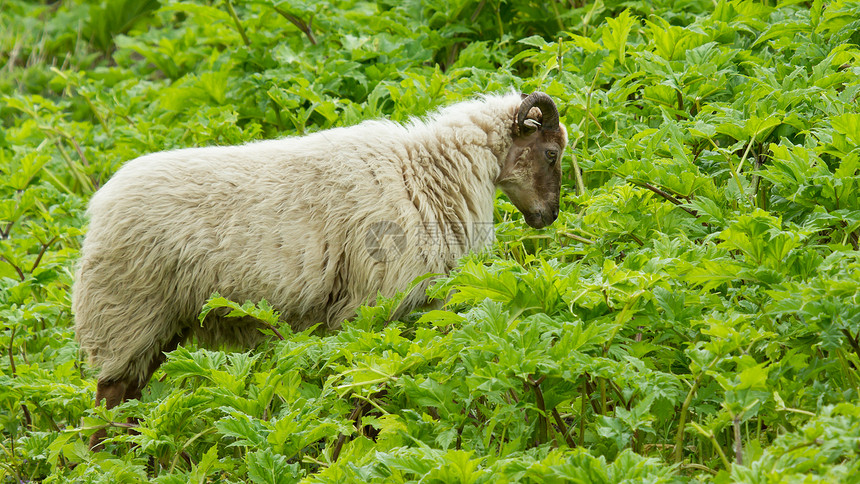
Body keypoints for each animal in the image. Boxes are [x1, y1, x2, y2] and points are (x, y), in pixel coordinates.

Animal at [74, 90, 568, 446]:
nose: (549, 216)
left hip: (159, 324)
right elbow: (368, 388)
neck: (428, 172)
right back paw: (108, 462)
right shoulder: (367, 306)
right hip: (125, 311)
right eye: (550, 153)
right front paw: (360, 442)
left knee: (127, 403)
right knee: (108, 403)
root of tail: (99, 206)